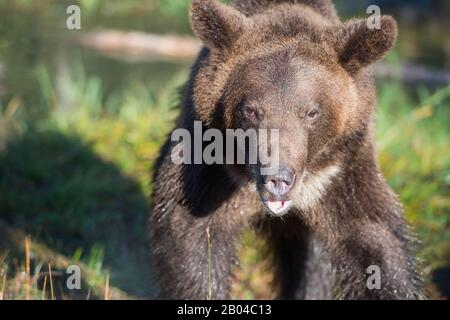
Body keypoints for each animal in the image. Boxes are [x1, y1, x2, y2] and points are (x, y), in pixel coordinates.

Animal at [149, 0, 424, 300]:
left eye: (312, 112)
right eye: (251, 110)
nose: (277, 179)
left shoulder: (338, 171)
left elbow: (375, 241)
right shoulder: (212, 162)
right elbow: (194, 236)